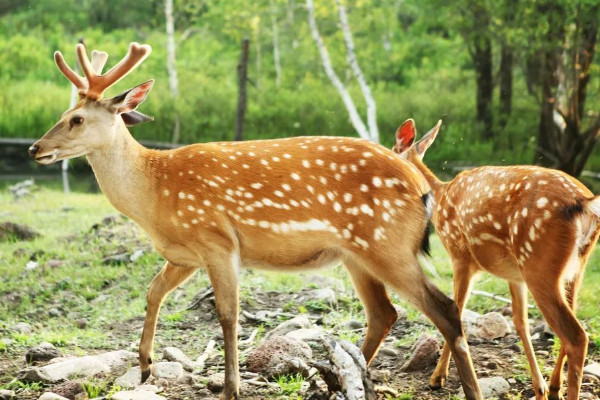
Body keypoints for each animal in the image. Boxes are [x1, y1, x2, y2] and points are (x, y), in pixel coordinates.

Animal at [29, 43, 488, 400]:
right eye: (65, 112)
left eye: (76, 119)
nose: (35, 148)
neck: (153, 193)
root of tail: (422, 186)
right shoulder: (184, 254)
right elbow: (153, 291)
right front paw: (144, 364)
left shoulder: (216, 238)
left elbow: (228, 315)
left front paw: (230, 387)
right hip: (356, 254)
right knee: (385, 314)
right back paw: (345, 377)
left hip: (387, 242)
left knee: (444, 309)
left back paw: (466, 389)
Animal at [394, 119, 600, 400]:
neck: (439, 200)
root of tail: (585, 203)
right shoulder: (514, 275)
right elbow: (520, 322)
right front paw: (539, 386)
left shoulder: (460, 256)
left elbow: (457, 311)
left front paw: (438, 377)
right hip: (573, 266)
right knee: (569, 323)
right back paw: (554, 386)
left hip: (539, 263)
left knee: (576, 335)